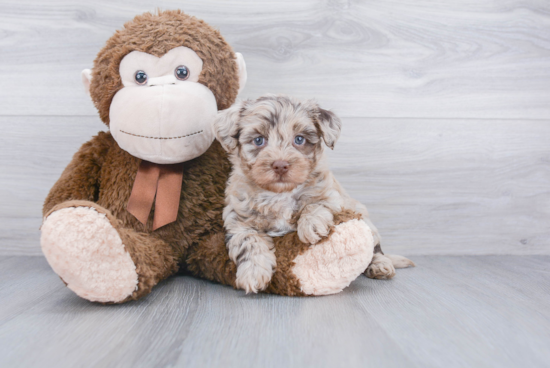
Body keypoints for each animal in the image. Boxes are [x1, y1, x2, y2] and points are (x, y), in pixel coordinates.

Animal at [215, 94, 414, 294]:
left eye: (299, 139)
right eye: (258, 140)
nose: (280, 165)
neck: (280, 193)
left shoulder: (332, 195)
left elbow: (315, 203)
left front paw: (311, 225)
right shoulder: (238, 220)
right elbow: (248, 241)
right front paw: (253, 273)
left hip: (365, 220)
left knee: (375, 250)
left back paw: (380, 265)